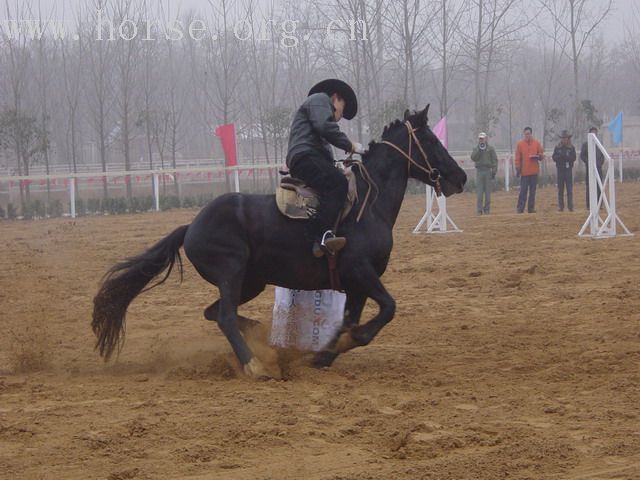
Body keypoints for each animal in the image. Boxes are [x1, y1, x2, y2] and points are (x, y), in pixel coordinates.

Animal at [92, 106, 468, 378]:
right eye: (432, 141)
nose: (461, 177)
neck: (368, 204)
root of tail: (191, 225)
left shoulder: (357, 284)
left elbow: (349, 319)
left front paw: (323, 356)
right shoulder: (362, 272)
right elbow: (387, 309)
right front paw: (345, 344)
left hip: (250, 282)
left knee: (216, 313)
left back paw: (264, 343)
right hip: (231, 273)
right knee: (225, 316)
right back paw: (256, 365)